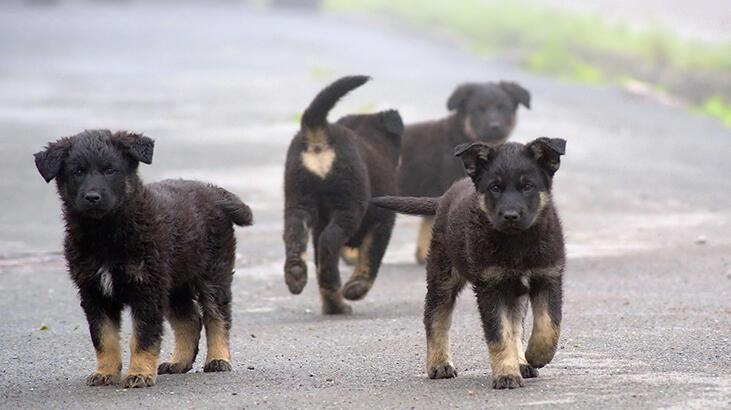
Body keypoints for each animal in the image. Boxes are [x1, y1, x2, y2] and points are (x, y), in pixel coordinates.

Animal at [34, 131, 254, 388]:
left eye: (110, 170)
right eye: (77, 172)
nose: (92, 197)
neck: (106, 234)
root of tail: (213, 192)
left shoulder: (146, 289)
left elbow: (143, 336)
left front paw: (139, 373)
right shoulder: (93, 292)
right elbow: (103, 338)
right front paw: (105, 372)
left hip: (212, 274)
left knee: (217, 316)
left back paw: (218, 359)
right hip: (174, 283)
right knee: (190, 320)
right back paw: (179, 362)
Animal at [282, 76, 404, 314]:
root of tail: (319, 132)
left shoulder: (318, 224)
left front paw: (333, 304)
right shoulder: (384, 222)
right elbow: (370, 259)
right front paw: (355, 289)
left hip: (298, 199)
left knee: (296, 235)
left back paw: (296, 275)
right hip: (349, 204)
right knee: (330, 242)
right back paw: (335, 287)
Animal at [372, 137, 568, 388]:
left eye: (528, 186)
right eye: (495, 187)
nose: (510, 216)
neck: (517, 243)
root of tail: (445, 196)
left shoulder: (548, 277)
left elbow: (548, 325)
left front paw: (534, 356)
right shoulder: (490, 286)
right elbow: (499, 334)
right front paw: (506, 374)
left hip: (513, 292)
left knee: (515, 325)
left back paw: (522, 362)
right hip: (442, 276)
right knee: (436, 317)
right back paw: (439, 364)